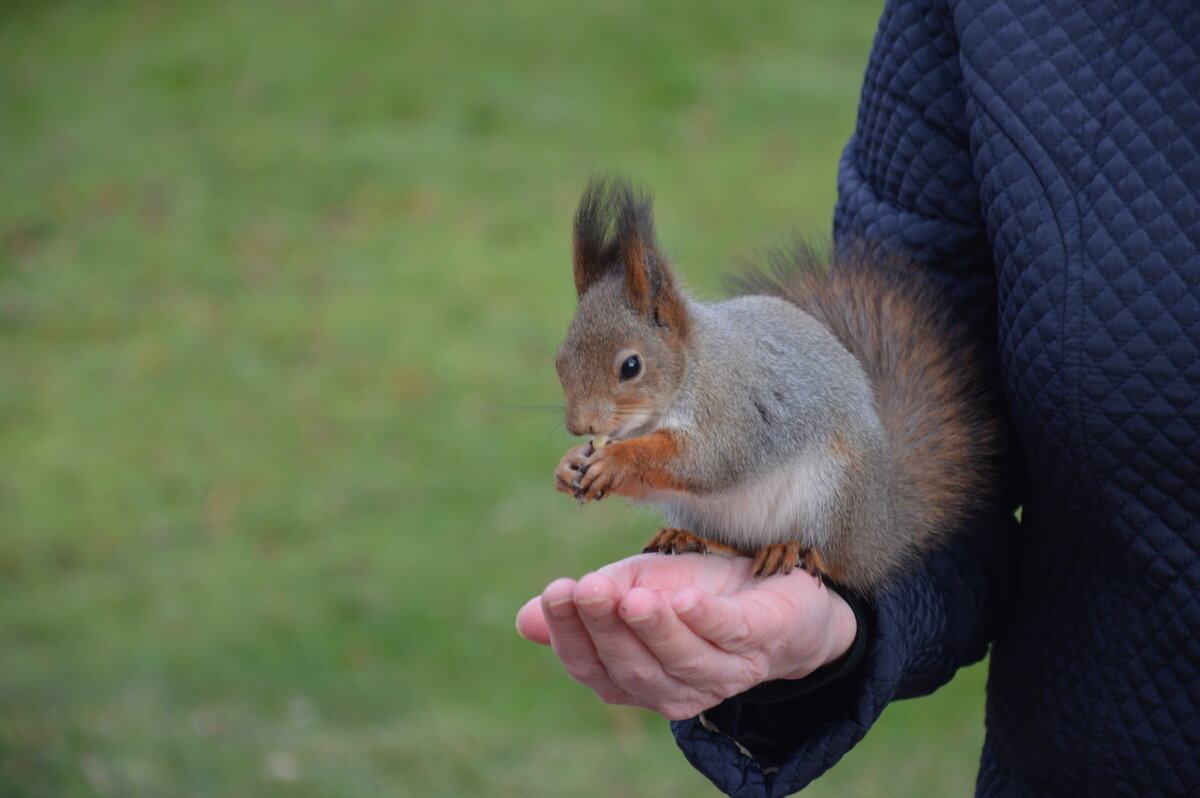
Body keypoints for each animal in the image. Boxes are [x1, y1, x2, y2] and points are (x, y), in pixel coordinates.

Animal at [552, 177, 1003, 595]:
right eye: (559, 359)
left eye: (631, 366)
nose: (579, 426)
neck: (692, 371)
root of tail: (879, 534)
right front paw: (570, 463)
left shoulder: (732, 411)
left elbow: (705, 460)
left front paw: (617, 459)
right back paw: (692, 538)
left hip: (833, 497)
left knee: (834, 562)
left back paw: (793, 549)